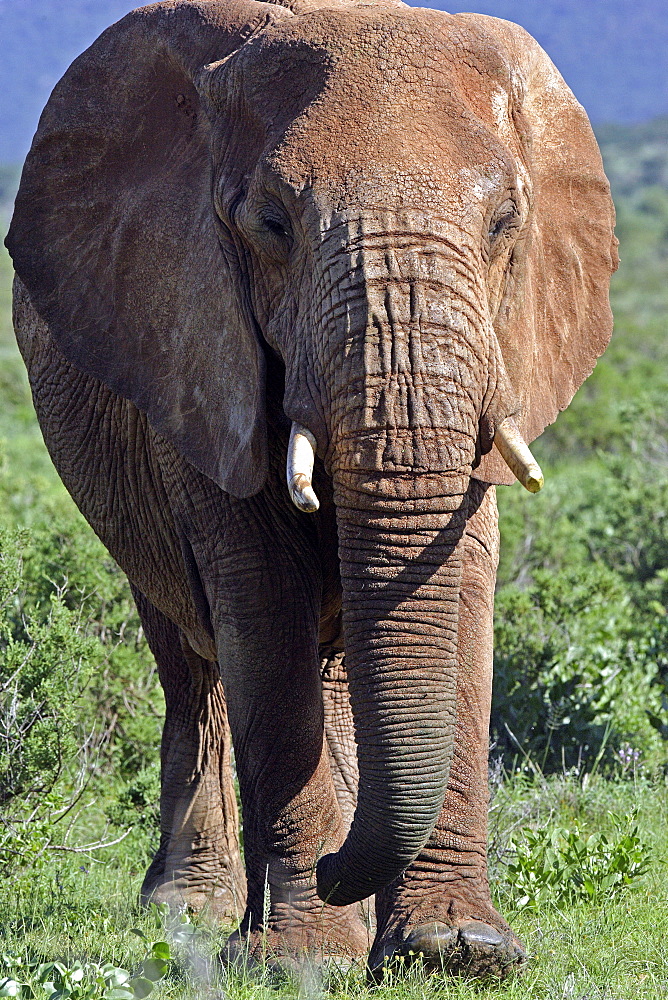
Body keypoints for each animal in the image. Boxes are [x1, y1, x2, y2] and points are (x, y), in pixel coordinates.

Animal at [5, 0, 620, 980]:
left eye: (504, 223)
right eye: (270, 222)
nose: (336, 870)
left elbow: (462, 584)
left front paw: (455, 951)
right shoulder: (196, 348)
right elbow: (261, 604)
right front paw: (298, 959)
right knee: (192, 659)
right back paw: (197, 907)